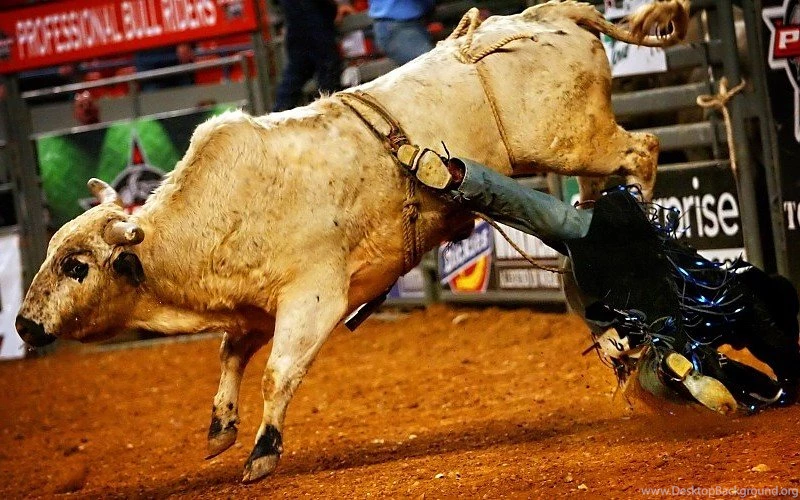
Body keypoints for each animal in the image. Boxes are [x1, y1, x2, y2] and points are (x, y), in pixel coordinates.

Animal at [16, 0, 690, 483]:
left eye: (75, 266)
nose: (22, 325)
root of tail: (548, 15)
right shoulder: (253, 308)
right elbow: (232, 355)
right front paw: (220, 428)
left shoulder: (314, 298)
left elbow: (278, 373)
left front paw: (262, 453)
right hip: (576, 149)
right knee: (606, 181)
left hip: (573, 140)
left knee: (643, 149)